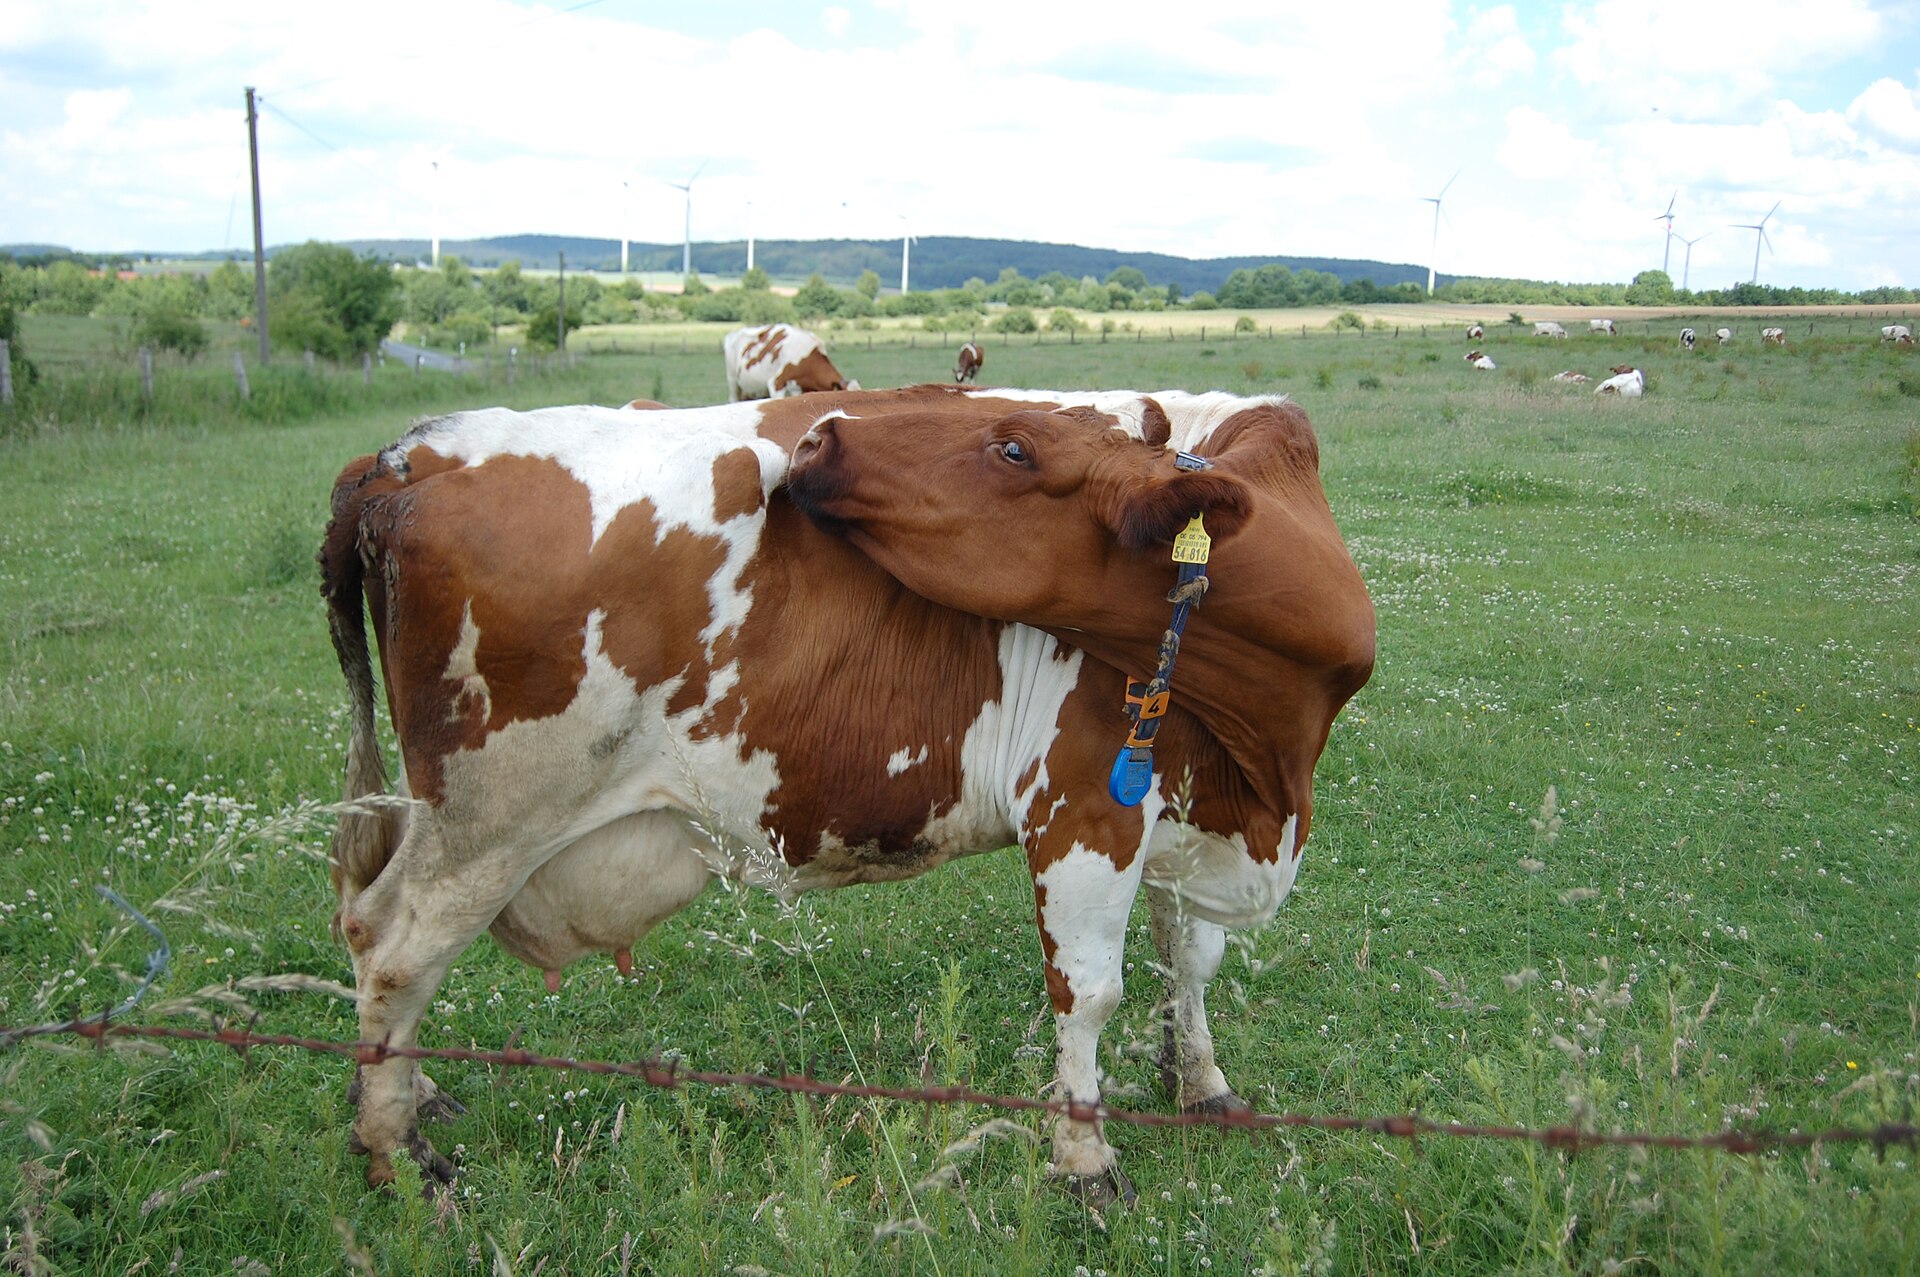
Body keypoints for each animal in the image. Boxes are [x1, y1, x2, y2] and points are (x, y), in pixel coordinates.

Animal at [320, 386, 1376, 1205]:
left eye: (1014, 446)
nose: (820, 436)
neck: (1266, 760)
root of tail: (409, 452)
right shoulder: (1083, 807)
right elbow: (1090, 990)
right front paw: (1085, 1159)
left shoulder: (1179, 811)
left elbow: (1188, 958)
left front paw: (1201, 1082)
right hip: (485, 821)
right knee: (391, 946)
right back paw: (397, 1152)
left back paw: (410, 1097)